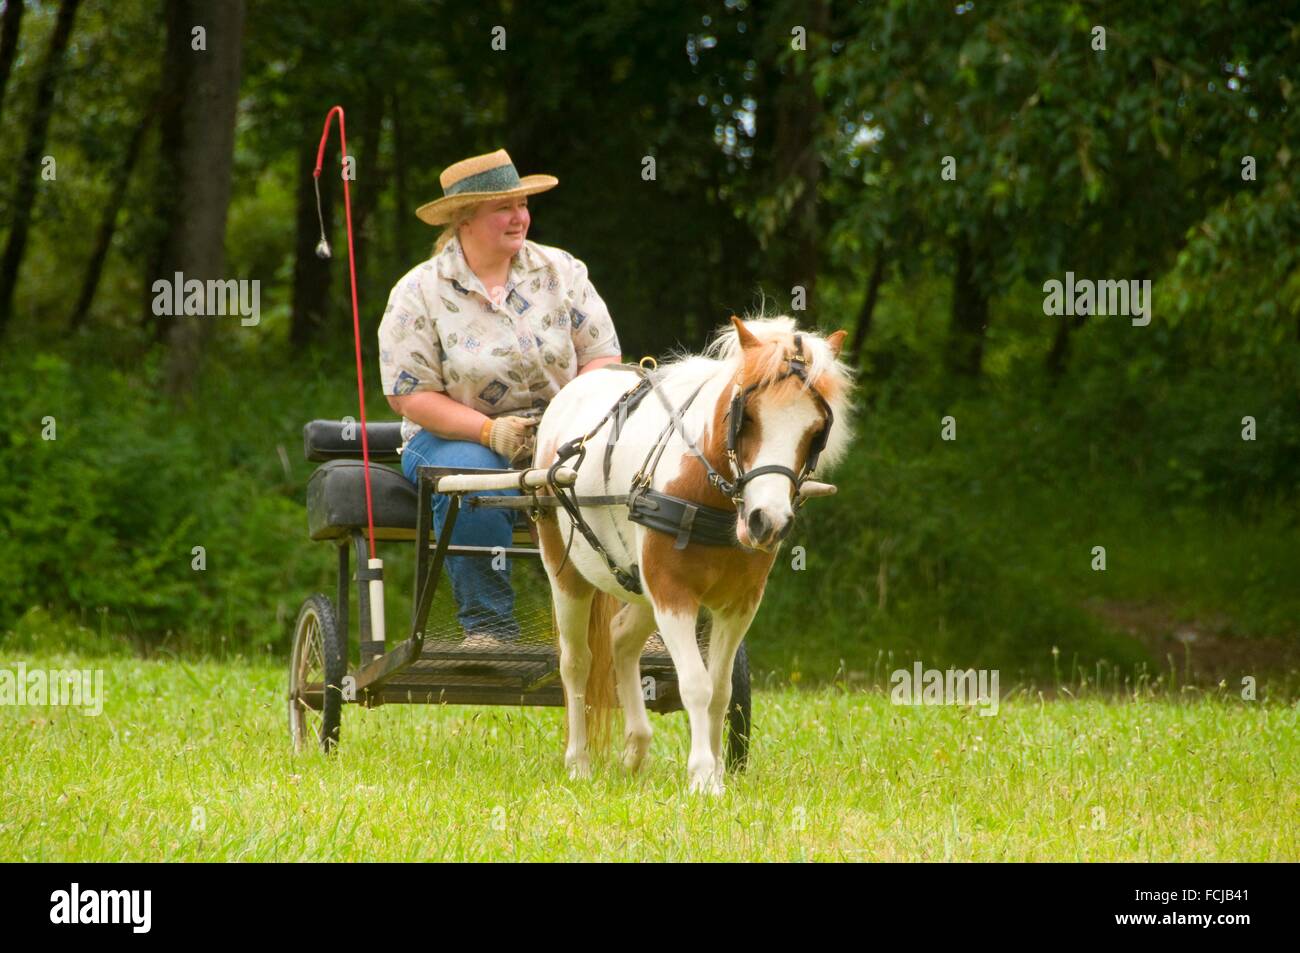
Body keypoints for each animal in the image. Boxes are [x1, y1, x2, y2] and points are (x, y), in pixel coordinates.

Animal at [532, 314, 856, 794]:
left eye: (817, 431)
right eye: (747, 418)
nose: (767, 521)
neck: (713, 496)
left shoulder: (739, 603)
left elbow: (721, 690)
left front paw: (720, 771)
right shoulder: (672, 593)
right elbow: (697, 686)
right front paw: (702, 776)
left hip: (639, 582)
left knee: (621, 638)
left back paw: (636, 748)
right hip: (566, 569)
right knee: (577, 663)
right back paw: (579, 762)